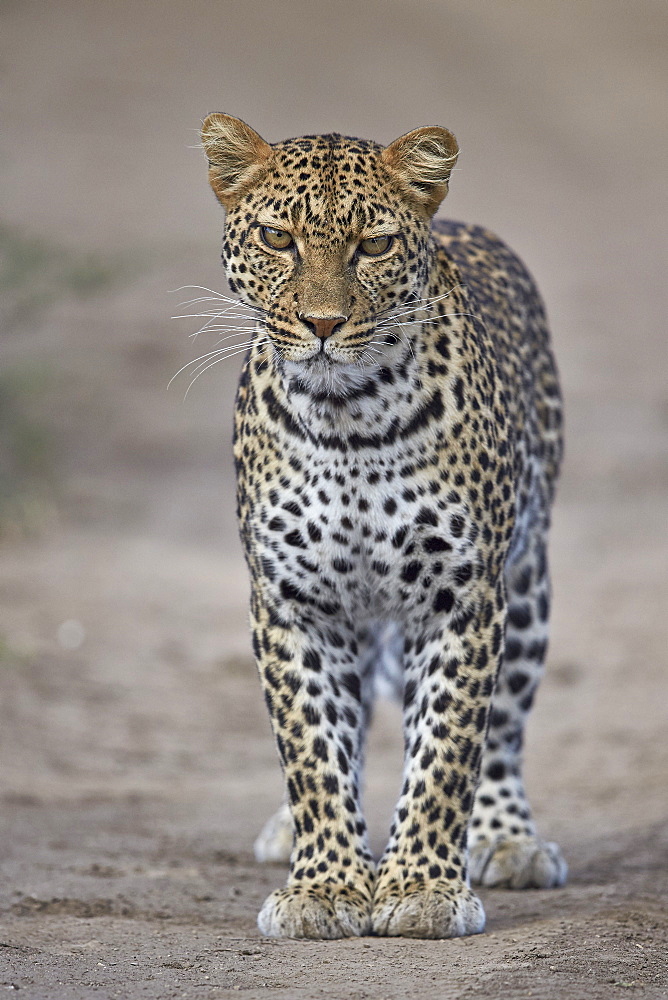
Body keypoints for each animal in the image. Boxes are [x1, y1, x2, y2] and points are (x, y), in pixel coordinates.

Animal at [200, 113, 568, 940]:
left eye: (373, 245)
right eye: (277, 238)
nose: (323, 323)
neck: (348, 415)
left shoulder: (463, 595)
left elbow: (447, 750)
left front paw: (422, 885)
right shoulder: (293, 601)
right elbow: (311, 748)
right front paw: (327, 885)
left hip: (527, 582)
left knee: (504, 732)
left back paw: (508, 839)